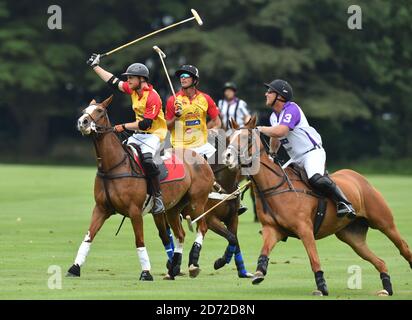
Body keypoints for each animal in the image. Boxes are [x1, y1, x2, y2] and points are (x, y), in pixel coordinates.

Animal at [66, 96, 214, 282]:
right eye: (84, 110)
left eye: (99, 111)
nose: (82, 122)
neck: (113, 165)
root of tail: (200, 157)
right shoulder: (101, 208)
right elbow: (88, 237)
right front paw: (74, 268)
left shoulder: (134, 210)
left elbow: (139, 241)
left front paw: (146, 272)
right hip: (173, 209)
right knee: (180, 234)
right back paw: (173, 269)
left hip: (197, 202)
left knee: (202, 227)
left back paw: (193, 264)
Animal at [225, 115, 412, 296]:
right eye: (229, 137)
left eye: (247, 138)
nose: (227, 156)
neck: (274, 187)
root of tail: (358, 177)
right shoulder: (273, 229)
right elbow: (264, 251)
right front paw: (259, 273)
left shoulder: (305, 229)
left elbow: (314, 259)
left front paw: (321, 288)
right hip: (352, 237)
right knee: (379, 261)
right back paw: (387, 288)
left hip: (384, 222)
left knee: (403, 246)